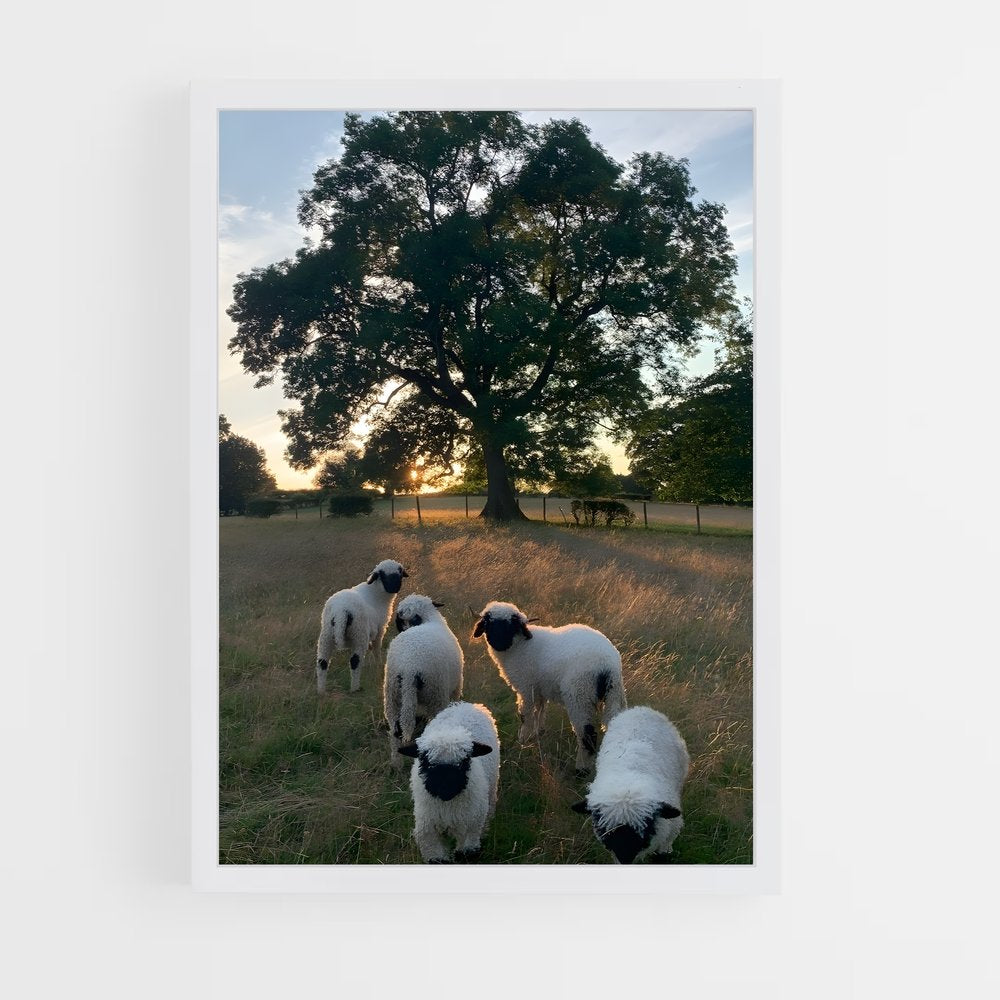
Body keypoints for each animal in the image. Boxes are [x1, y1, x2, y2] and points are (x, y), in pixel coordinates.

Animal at [315, 559, 408, 694]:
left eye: (399, 573)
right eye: (383, 575)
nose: (395, 588)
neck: (376, 593)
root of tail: (341, 611)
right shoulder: (380, 629)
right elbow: (376, 648)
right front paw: (378, 664)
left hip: (326, 635)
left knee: (322, 662)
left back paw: (321, 691)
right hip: (358, 634)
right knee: (355, 661)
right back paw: (355, 688)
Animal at [384, 594, 464, 758]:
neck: (429, 619)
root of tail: (409, 667)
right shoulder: (456, 687)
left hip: (392, 696)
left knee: (395, 733)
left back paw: (396, 761)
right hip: (436, 694)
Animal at [398, 701, 500, 863]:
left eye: (464, 761)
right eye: (425, 761)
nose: (445, 790)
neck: (448, 806)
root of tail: (465, 705)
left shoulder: (470, 828)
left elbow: (467, 854)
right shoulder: (428, 832)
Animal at [471, 600, 627, 775]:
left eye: (511, 625)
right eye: (488, 623)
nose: (499, 644)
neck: (519, 647)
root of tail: (607, 666)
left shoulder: (526, 688)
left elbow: (525, 715)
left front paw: (523, 739)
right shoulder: (539, 688)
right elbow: (540, 709)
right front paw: (538, 733)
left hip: (579, 696)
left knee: (587, 735)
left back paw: (581, 769)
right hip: (614, 694)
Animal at [571, 706, 689, 864]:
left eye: (645, 826)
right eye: (607, 830)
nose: (625, 859)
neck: (627, 781)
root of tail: (640, 708)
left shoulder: (670, 831)